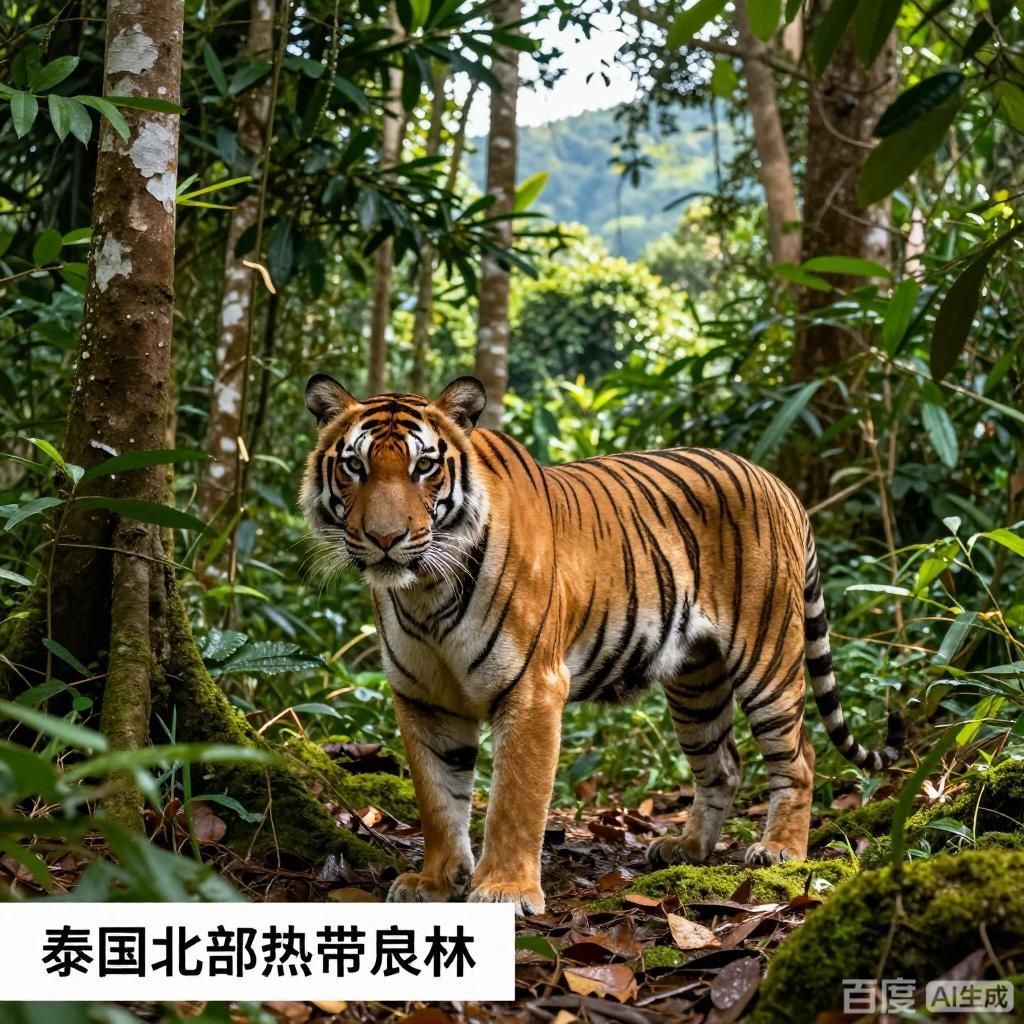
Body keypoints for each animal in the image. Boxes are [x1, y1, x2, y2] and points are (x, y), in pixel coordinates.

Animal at [301, 374, 903, 915]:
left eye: (423, 467)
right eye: (354, 466)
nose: (385, 539)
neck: (426, 593)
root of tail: (780, 485)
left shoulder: (533, 688)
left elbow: (515, 799)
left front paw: (505, 890)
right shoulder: (422, 698)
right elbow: (437, 798)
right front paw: (434, 881)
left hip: (768, 656)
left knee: (799, 755)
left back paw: (780, 850)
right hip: (696, 682)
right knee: (724, 764)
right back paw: (687, 848)